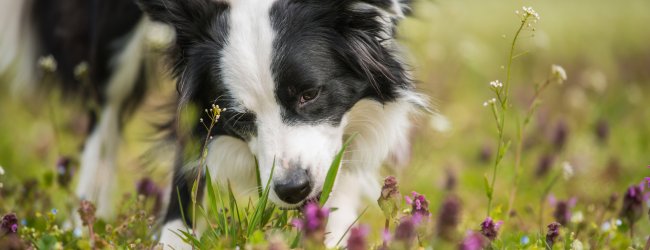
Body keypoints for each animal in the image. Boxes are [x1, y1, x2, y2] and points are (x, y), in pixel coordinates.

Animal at [1, 0, 426, 247]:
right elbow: (189, 151)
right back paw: (83, 224)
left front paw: (329, 230)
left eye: (309, 94)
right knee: (104, 111)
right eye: (239, 117)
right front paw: (173, 238)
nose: (292, 190)